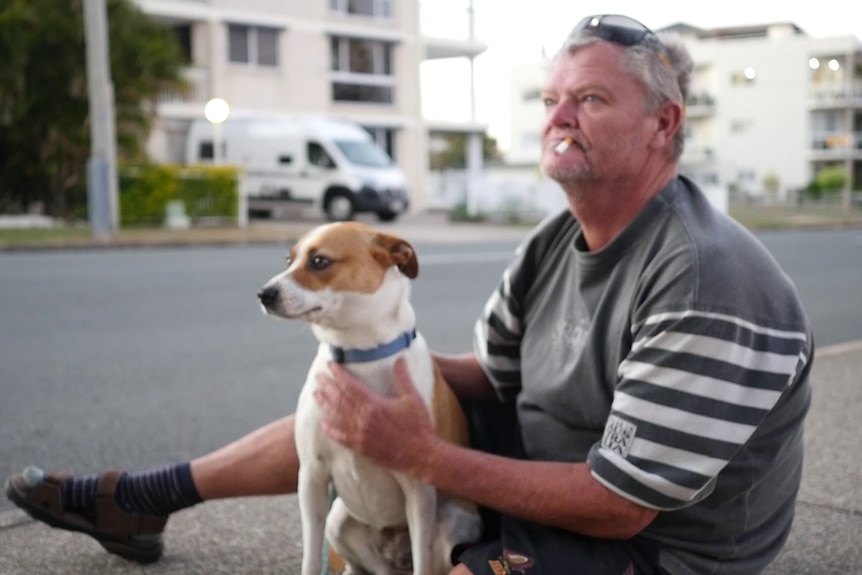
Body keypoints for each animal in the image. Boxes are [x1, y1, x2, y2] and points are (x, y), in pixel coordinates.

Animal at [256, 223, 486, 575]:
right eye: (288, 259)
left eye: (319, 261)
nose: (264, 294)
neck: (359, 355)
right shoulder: (311, 476)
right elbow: (311, 557)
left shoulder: (419, 489)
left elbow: (423, 563)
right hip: (338, 518)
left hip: (449, 521)